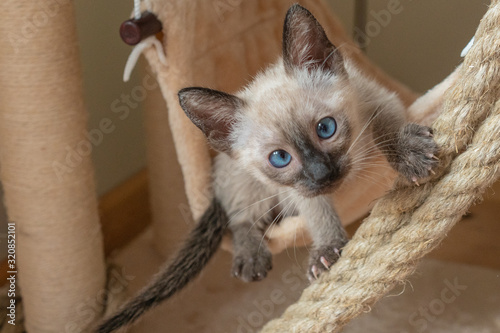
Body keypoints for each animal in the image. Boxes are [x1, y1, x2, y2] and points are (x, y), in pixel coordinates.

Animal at [97, 4, 438, 330]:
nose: (322, 174)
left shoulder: (378, 100)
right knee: (240, 218)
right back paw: (251, 257)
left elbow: (387, 130)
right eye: (280, 158)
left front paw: (410, 155)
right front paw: (328, 250)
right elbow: (317, 211)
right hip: (250, 184)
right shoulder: (299, 189)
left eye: (326, 128)